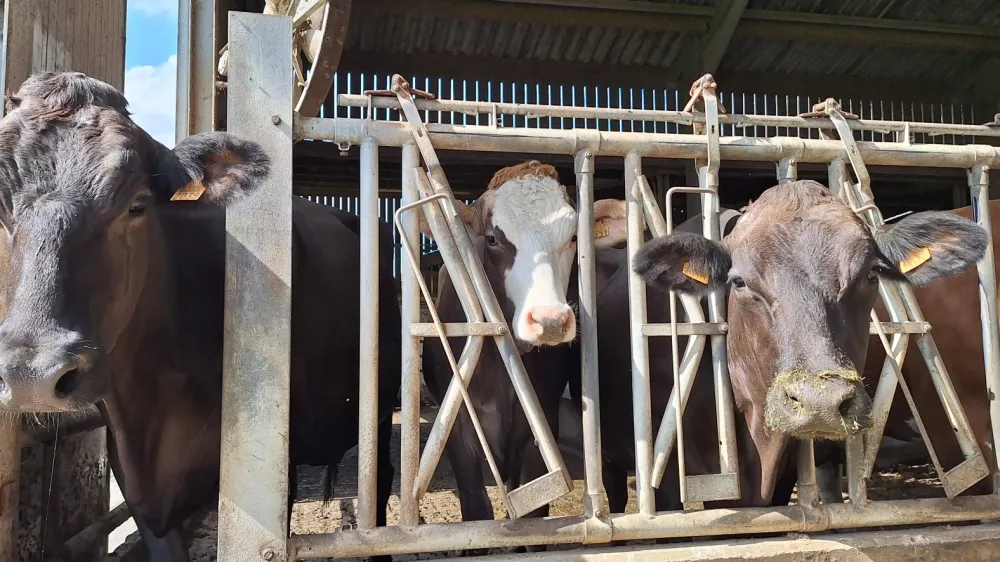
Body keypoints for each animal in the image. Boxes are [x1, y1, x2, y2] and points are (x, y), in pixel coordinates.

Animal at [420, 160, 624, 532]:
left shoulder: (540, 425)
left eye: (574, 237)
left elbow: (534, 511)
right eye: (492, 238)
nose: (550, 320)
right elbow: (476, 508)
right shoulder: (458, 428)